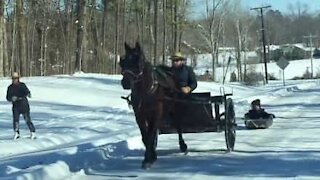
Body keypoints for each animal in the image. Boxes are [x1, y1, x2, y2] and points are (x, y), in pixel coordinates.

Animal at [119, 41, 188, 169]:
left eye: (138, 62)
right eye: (123, 62)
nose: (125, 83)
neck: (145, 91)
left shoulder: (155, 114)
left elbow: (150, 134)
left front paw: (148, 159)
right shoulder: (139, 115)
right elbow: (145, 136)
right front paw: (150, 157)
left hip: (174, 108)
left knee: (178, 125)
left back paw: (183, 145)